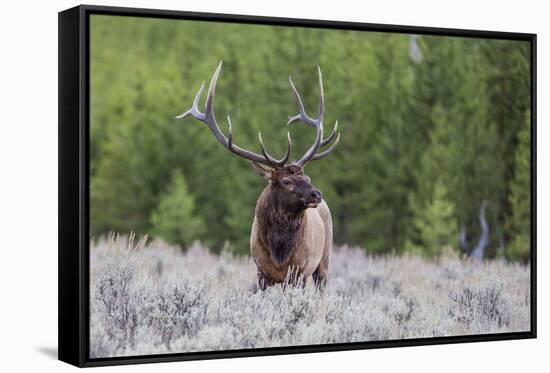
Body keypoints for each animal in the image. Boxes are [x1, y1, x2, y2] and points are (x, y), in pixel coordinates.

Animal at [177, 61, 340, 288]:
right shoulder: (261, 271)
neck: (279, 252)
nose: (316, 194)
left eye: (307, 178)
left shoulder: (300, 271)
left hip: (323, 261)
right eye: (286, 181)